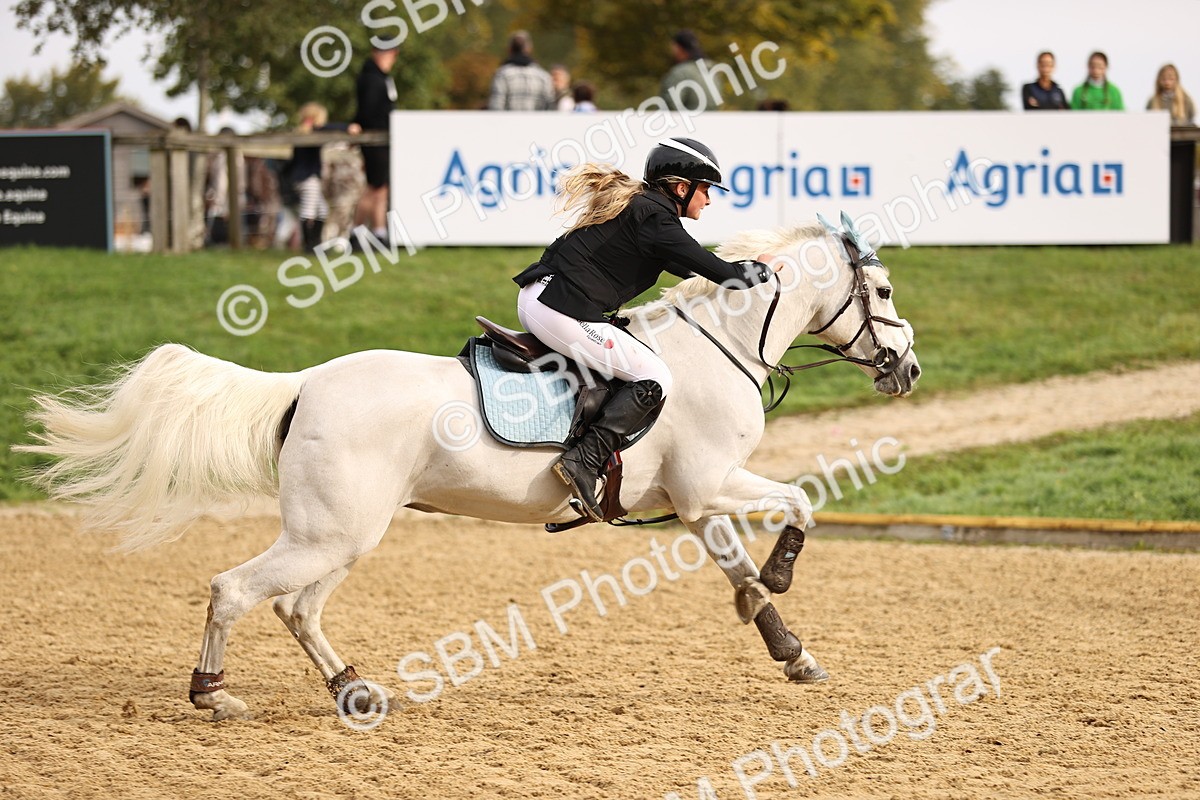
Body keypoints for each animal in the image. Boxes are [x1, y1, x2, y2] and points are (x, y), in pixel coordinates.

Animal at [17, 215, 920, 721]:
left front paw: (789, 648)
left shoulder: (695, 503)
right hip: (330, 533)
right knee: (235, 590)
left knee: (298, 608)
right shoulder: (709, 484)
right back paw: (214, 695)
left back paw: (355, 691)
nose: (906, 370)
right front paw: (785, 576)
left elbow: (740, 573)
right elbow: (800, 502)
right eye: (879, 291)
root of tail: (307, 382)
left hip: (344, 534)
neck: (719, 346)